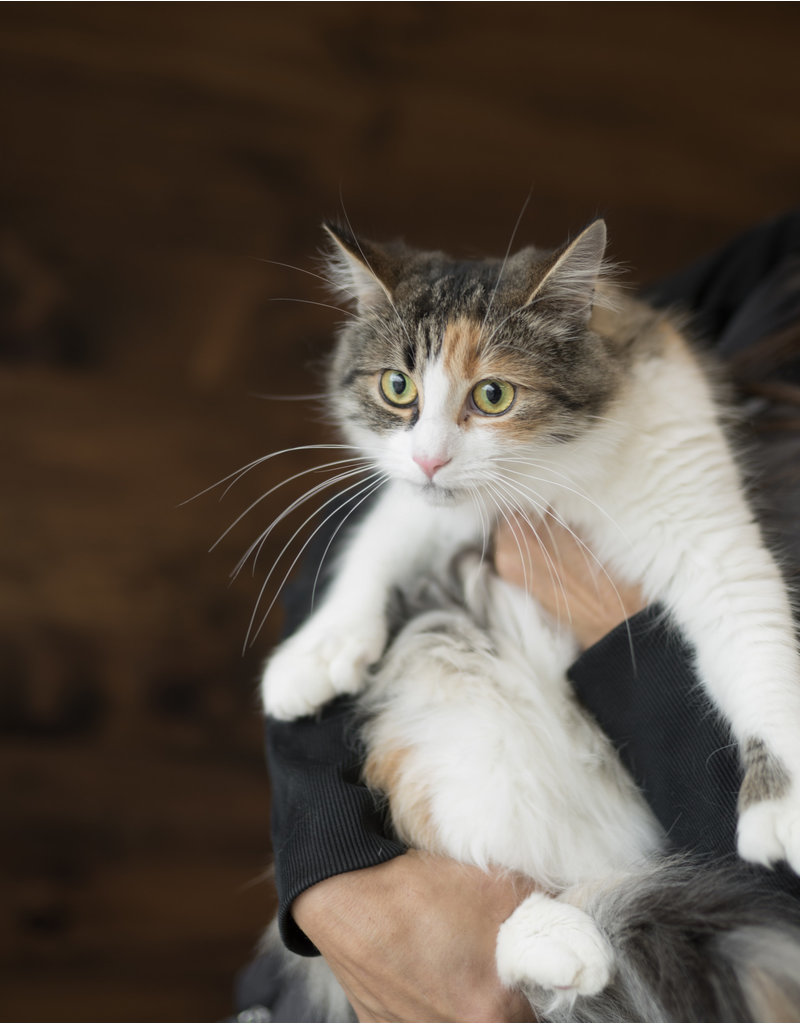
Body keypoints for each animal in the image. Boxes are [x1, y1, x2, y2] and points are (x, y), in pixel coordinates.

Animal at [259, 222, 798, 1015]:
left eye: (494, 394)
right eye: (398, 387)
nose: (430, 459)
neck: (565, 472)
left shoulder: (708, 532)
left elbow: (759, 656)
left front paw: (781, 810)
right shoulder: (449, 504)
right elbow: (382, 535)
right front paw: (315, 654)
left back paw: (560, 939)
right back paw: (559, 940)